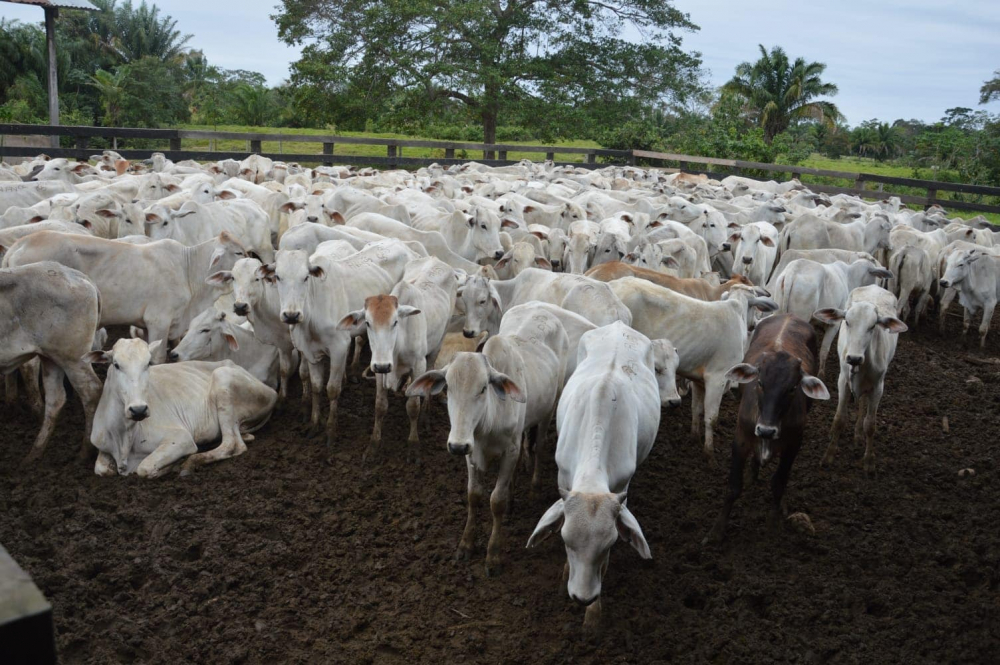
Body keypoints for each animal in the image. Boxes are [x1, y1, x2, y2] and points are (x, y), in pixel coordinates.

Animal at [708, 314, 832, 544]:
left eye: (792, 388)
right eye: (760, 382)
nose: (766, 431)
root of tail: (789, 316)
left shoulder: (794, 445)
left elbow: (779, 484)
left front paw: (773, 524)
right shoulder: (740, 438)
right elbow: (733, 487)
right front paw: (716, 532)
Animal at [816, 284, 912, 472]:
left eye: (873, 326)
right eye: (847, 321)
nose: (854, 358)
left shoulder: (878, 387)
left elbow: (870, 425)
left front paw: (868, 461)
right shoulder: (843, 381)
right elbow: (839, 419)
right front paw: (828, 456)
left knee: (863, 403)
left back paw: (858, 434)